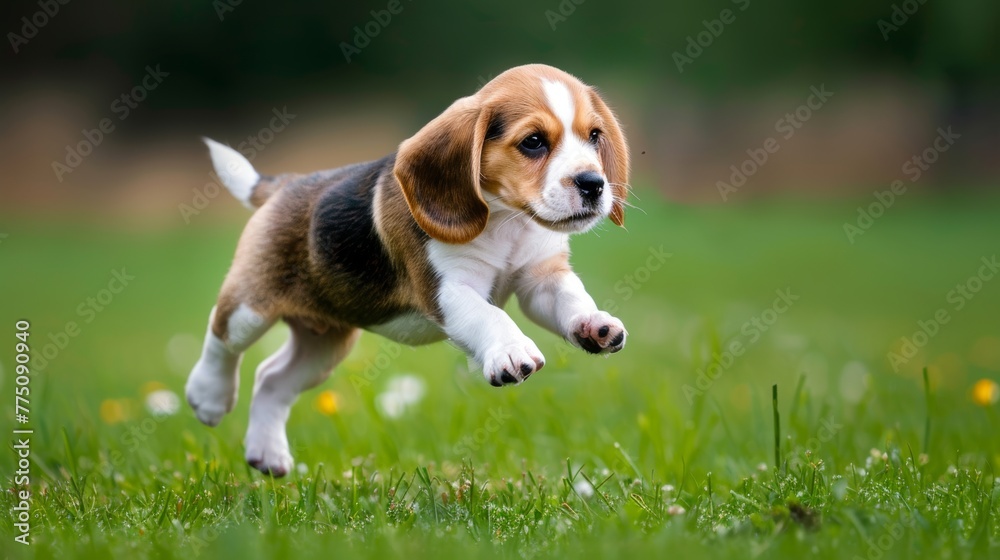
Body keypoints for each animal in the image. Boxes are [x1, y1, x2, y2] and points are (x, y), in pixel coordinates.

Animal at [184, 65, 628, 476]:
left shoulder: (541, 280)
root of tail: (285, 185)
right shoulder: (448, 290)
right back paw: (208, 396)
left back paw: (267, 453)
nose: (594, 183)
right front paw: (510, 350)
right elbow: (490, 316)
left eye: (594, 136)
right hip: (251, 308)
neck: (508, 221)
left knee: (270, 378)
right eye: (533, 142)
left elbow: (571, 297)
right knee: (220, 334)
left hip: (324, 343)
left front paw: (594, 324)